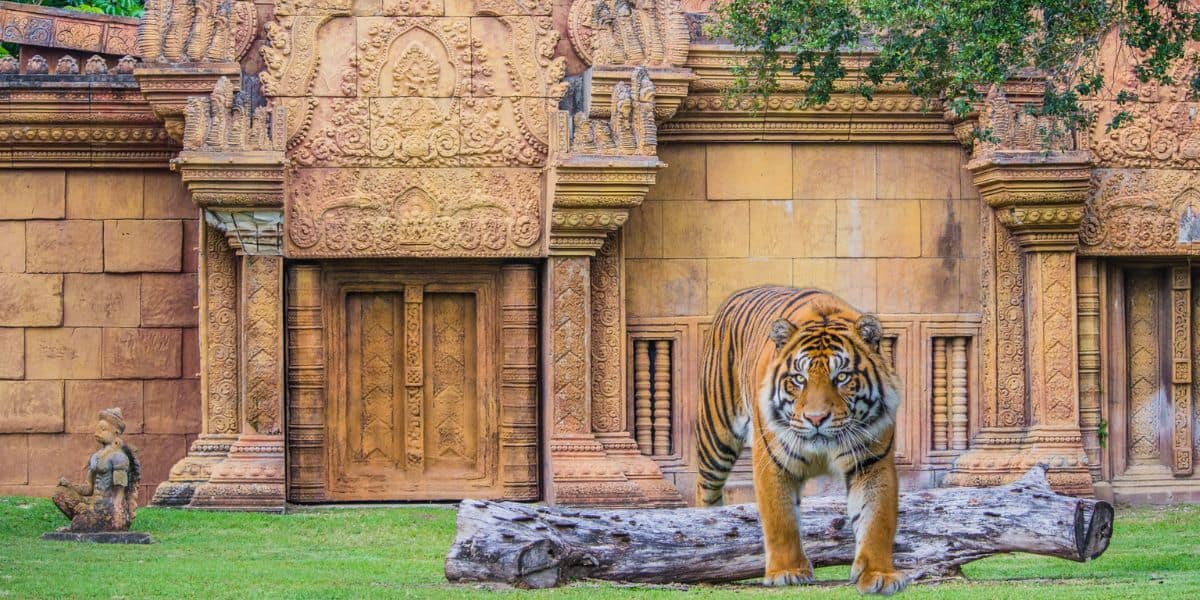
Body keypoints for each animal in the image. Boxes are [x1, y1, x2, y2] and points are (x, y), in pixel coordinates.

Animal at [695, 285, 907, 595]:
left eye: (842, 377)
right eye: (799, 378)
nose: (816, 419)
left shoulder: (872, 463)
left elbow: (876, 519)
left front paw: (878, 574)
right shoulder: (771, 462)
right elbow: (780, 519)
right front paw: (787, 572)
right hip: (715, 438)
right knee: (705, 490)